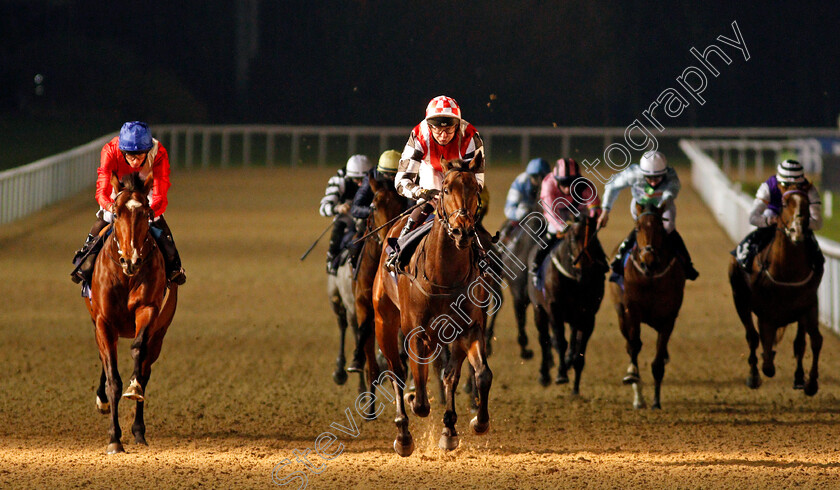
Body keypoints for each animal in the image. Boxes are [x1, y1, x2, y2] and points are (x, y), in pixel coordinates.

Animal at [83, 171, 179, 452]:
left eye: (146, 212)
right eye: (116, 213)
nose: (131, 260)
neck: (126, 276)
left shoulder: (148, 311)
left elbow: (138, 350)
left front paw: (134, 387)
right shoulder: (103, 321)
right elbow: (113, 379)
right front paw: (114, 439)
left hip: (160, 332)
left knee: (146, 368)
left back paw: (138, 431)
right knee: (105, 360)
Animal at [372, 153, 492, 456]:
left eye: (475, 189)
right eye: (446, 189)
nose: (462, 231)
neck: (444, 274)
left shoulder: (469, 327)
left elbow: (481, 374)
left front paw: (477, 422)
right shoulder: (416, 331)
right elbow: (420, 395)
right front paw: (414, 401)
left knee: (449, 375)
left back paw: (449, 429)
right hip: (384, 321)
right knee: (397, 372)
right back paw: (404, 434)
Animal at [524, 214, 604, 394]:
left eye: (594, 239)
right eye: (573, 238)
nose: (585, 271)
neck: (574, 279)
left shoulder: (588, 315)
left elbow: (580, 351)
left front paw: (575, 388)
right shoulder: (554, 309)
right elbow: (560, 342)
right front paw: (561, 375)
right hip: (539, 311)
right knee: (544, 340)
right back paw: (544, 375)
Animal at [612, 202, 684, 410]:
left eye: (660, 228)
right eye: (637, 228)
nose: (649, 260)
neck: (651, 277)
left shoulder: (668, 318)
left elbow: (658, 362)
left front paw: (656, 402)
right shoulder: (633, 311)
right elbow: (634, 345)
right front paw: (632, 377)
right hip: (621, 314)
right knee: (629, 344)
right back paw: (638, 397)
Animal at [732, 189, 824, 394]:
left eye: (807, 204)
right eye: (784, 203)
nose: (797, 231)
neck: (787, 271)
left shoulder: (808, 305)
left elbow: (814, 340)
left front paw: (811, 383)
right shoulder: (766, 311)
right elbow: (763, 341)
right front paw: (764, 368)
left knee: (799, 342)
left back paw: (798, 377)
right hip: (740, 300)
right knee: (752, 337)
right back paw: (755, 374)